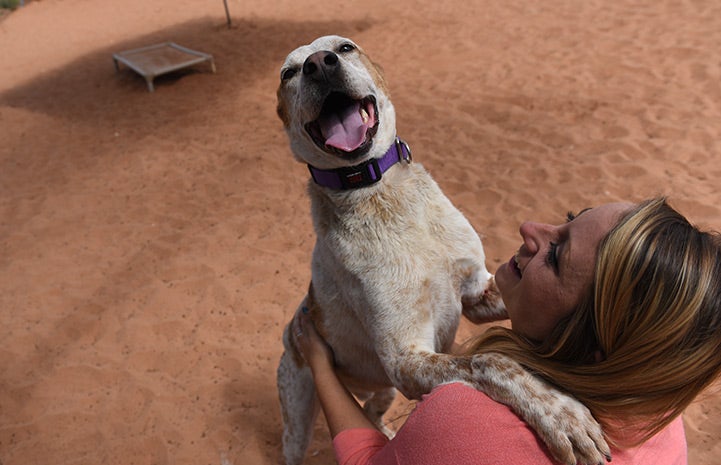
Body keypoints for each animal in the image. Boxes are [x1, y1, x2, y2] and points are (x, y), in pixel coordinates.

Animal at [274, 35, 608, 464]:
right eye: (288, 73)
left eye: (345, 47)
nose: (319, 62)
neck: (381, 195)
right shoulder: (406, 359)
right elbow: (491, 360)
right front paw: (560, 412)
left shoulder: (476, 293)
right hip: (300, 409)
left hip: (384, 389)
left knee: (371, 411)